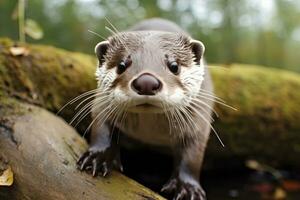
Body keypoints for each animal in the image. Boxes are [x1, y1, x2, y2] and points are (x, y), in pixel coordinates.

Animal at [77, 18, 218, 199]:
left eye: (174, 65)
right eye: (121, 65)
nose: (146, 82)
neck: (150, 131)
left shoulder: (198, 122)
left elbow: (192, 157)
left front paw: (188, 188)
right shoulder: (101, 104)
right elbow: (101, 129)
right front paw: (97, 157)